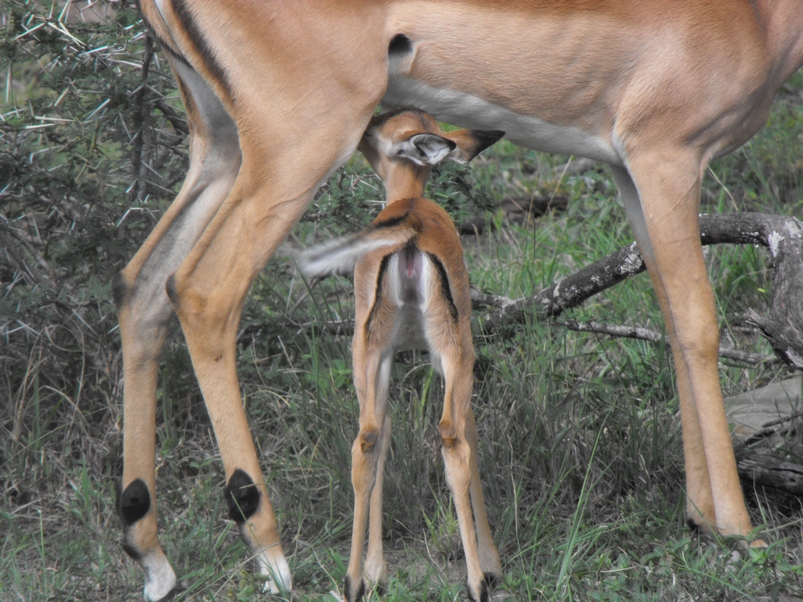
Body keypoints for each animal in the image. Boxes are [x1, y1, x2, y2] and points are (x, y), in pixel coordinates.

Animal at [298, 109, 504, 602]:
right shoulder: (439, 358)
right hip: (449, 351)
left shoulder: (389, 357)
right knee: (450, 436)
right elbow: (463, 432)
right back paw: (475, 582)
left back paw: (354, 580)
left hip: (373, 353)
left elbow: (385, 432)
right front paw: (491, 563)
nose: (359, 126)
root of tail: (410, 227)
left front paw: (376, 570)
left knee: (369, 439)